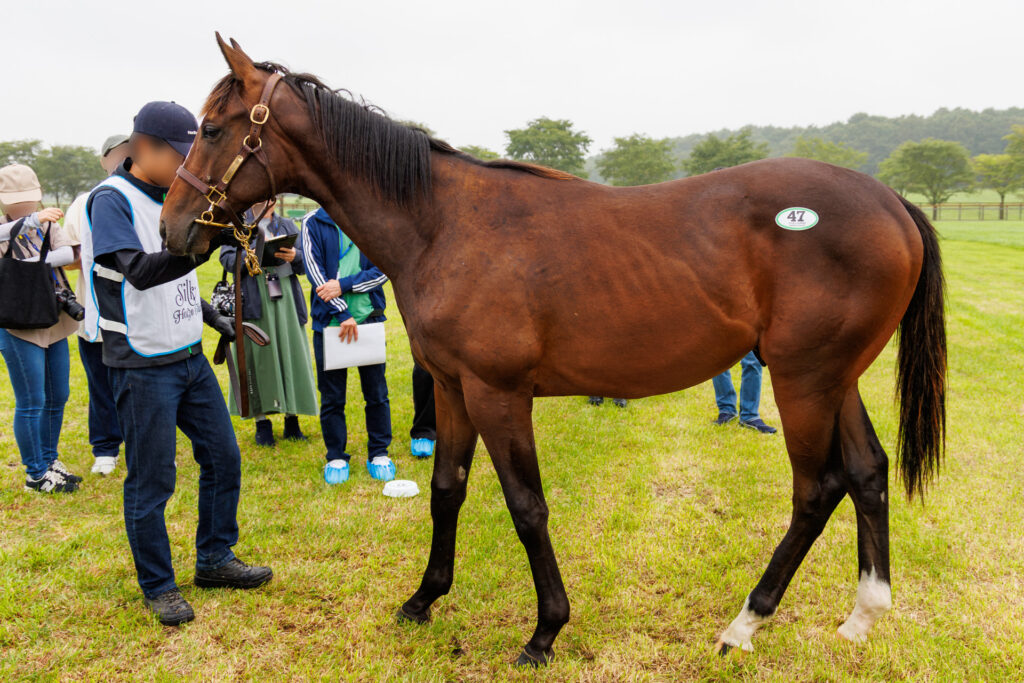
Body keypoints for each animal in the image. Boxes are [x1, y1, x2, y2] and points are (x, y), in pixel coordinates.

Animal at [160, 34, 946, 666]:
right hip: (834, 378)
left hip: (803, 379)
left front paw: (545, 630)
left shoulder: (497, 393)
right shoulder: (452, 388)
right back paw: (862, 615)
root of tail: (892, 202)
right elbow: (447, 489)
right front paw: (423, 599)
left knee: (817, 489)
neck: (442, 223)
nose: (173, 229)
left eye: (212, 127)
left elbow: (526, 506)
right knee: (868, 472)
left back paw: (744, 624)